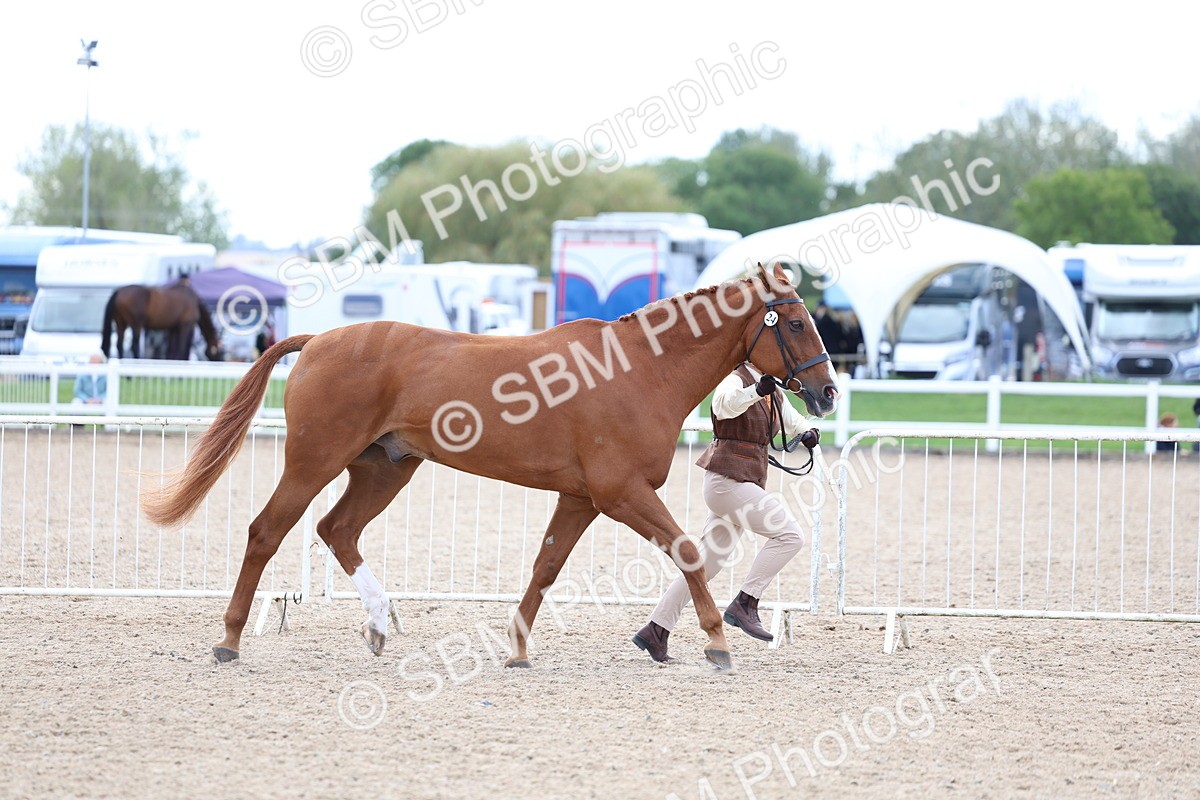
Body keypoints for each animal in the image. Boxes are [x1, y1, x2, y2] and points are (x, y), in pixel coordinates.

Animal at [143, 263, 838, 670]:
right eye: (795, 323)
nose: (828, 394)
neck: (639, 370)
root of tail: (317, 340)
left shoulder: (582, 499)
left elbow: (545, 569)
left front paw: (518, 649)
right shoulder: (622, 494)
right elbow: (689, 552)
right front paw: (718, 640)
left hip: (385, 469)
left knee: (337, 531)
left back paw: (378, 625)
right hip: (314, 463)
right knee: (267, 532)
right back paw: (229, 640)